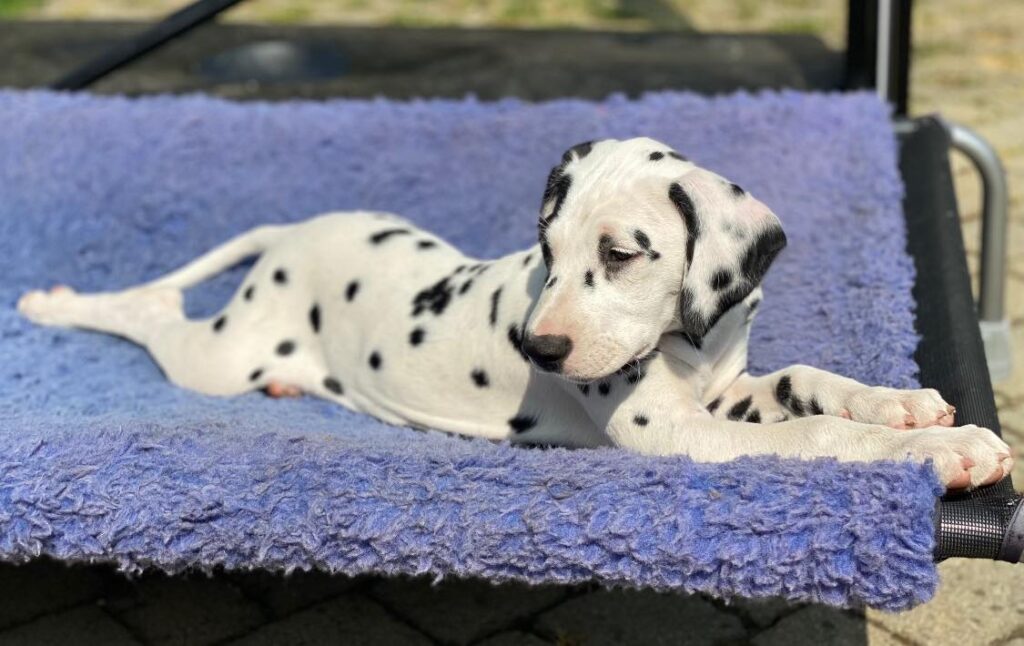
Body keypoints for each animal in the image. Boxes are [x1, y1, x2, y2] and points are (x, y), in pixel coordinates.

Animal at [19, 136, 1011, 489]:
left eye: (621, 255)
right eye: (547, 250)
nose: (540, 346)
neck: (690, 343)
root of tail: (298, 230)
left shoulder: (725, 395)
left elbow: (809, 384)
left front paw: (910, 409)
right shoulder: (679, 432)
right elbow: (817, 435)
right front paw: (942, 451)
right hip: (220, 354)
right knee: (155, 315)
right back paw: (54, 298)